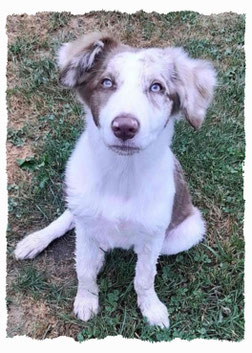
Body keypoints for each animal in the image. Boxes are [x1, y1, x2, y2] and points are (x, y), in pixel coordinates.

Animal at [14, 32, 217, 328]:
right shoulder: (86, 221)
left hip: (187, 232)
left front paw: (151, 308)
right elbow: (84, 270)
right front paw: (86, 299)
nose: (124, 127)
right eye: (106, 82)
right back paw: (38, 241)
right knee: (70, 221)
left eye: (157, 87)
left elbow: (144, 277)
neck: (122, 173)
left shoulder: (153, 237)